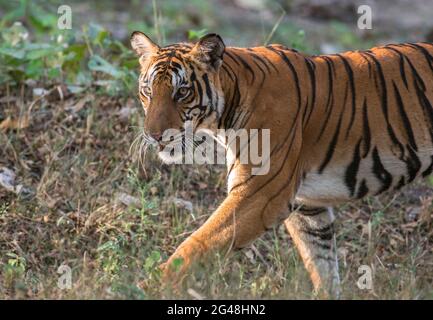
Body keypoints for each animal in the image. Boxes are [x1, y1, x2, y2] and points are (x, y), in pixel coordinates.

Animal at [130, 30, 432, 298]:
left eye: (182, 92)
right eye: (147, 90)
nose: (154, 135)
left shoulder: (260, 194)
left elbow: (198, 243)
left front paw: (149, 286)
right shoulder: (308, 205)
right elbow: (322, 265)